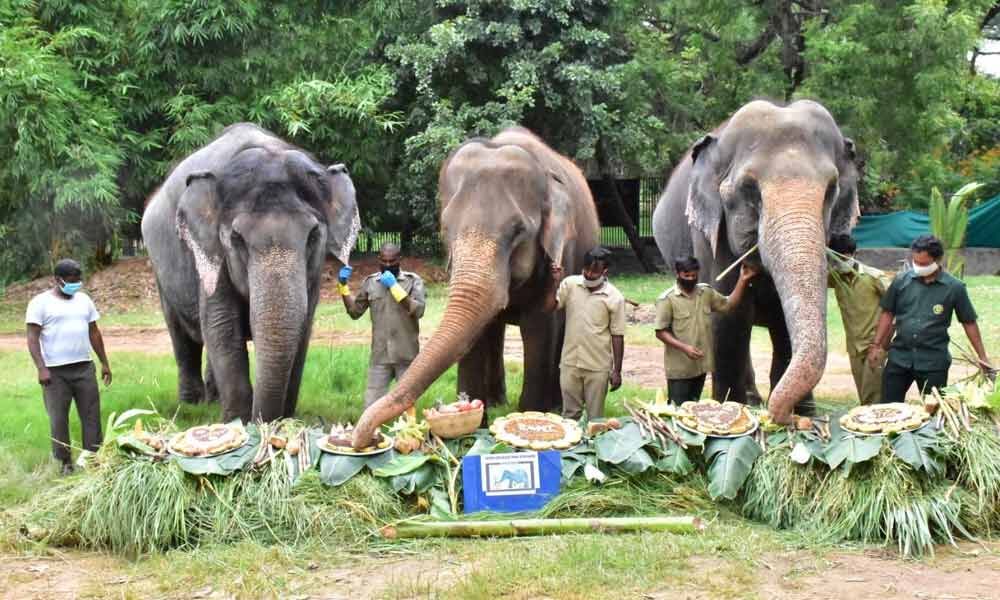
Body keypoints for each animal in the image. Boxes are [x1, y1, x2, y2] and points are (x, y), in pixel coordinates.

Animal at [141, 123, 360, 422]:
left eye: (314, 235)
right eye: (237, 239)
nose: (266, 420)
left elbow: (303, 328)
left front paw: (282, 420)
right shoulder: (212, 253)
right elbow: (222, 324)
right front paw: (238, 423)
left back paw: (212, 400)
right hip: (160, 271)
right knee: (182, 336)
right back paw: (191, 406)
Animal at [352, 127, 600, 447]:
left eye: (519, 231)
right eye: (446, 228)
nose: (365, 437)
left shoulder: (560, 257)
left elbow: (541, 327)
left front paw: (531, 415)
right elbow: (475, 335)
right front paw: (472, 427)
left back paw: (552, 406)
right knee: (494, 329)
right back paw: (496, 401)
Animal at [652, 100, 860, 423]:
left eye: (831, 190)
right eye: (749, 189)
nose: (792, 419)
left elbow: (784, 323)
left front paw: (805, 414)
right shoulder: (712, 238)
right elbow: (729, 315)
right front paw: (730, 408)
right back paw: (749, 401)